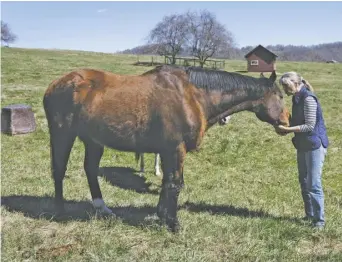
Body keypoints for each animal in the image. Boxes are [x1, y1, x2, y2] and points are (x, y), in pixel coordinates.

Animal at [42, 65, 288, 231]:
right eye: (280, 95)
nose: (286, 121)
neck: (192, 95)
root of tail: (56, 84)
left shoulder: (168, 150)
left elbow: (167, 182)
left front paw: (162, 216)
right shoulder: (175, 149)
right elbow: (174, 183)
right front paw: (172, 222)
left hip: (93, 141)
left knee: (91, 170)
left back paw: (102, 208)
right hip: (62, 134)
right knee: (59, 169)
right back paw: (60, 211)